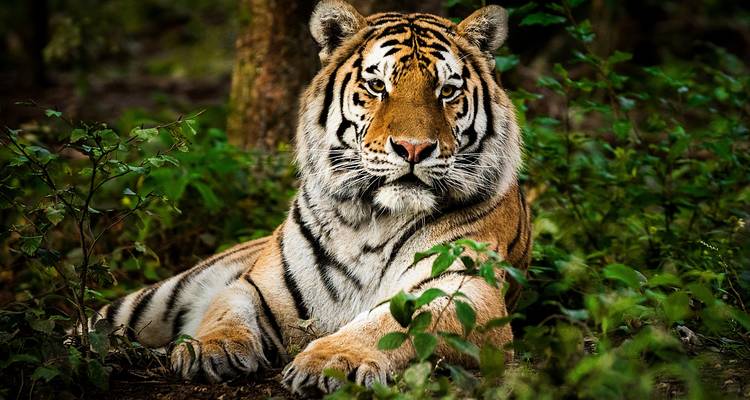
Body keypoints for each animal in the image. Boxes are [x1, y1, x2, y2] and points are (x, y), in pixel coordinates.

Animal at [90, 0, 531, 396]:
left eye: (447, 91)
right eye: (377, 86)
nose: (413, 148)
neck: (372, 219)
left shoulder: (465, 290)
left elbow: (391, 324)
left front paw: (333, 361)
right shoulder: (258, 286)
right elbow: (225, 310)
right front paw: (207, 348)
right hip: (156, 299)